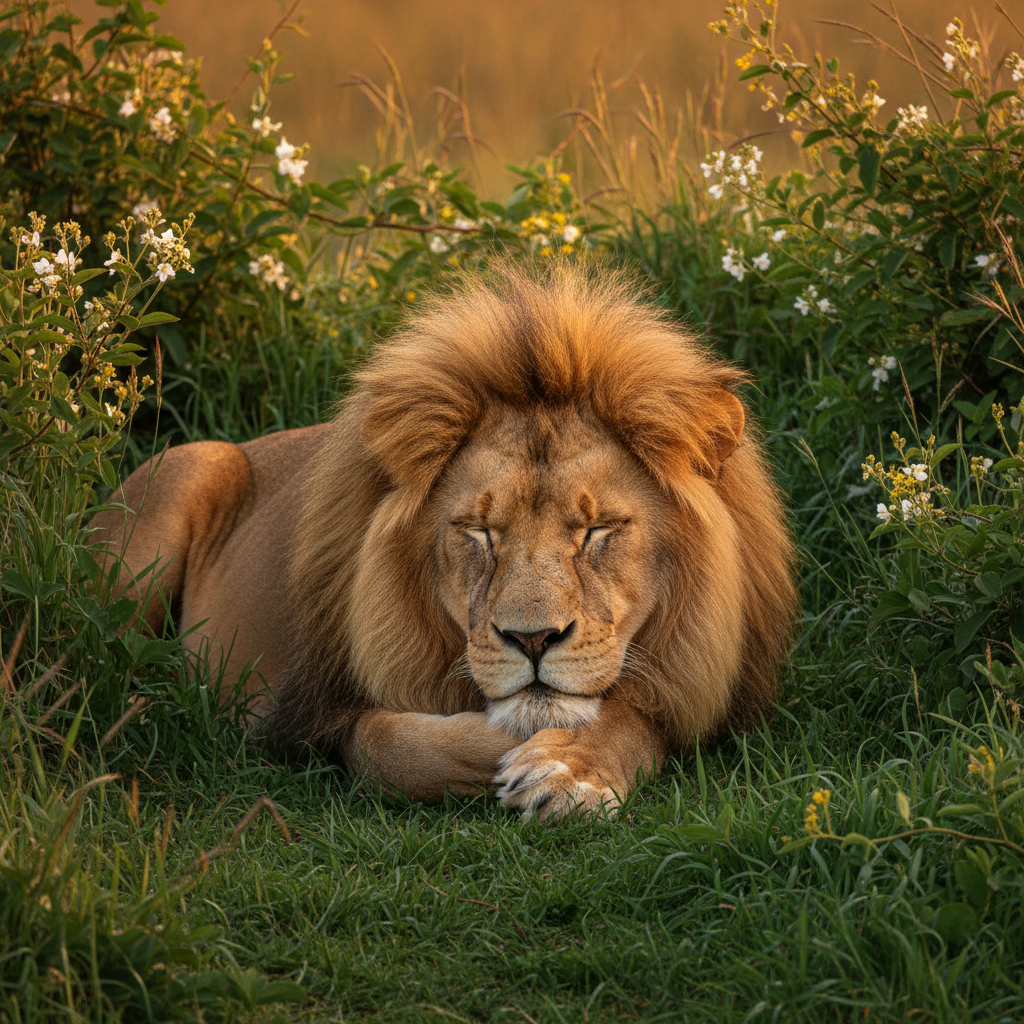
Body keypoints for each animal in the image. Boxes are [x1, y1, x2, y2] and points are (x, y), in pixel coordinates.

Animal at [90, 264, 797, 820]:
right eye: (479, 532)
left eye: (596, 530)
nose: (532, 640)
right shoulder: (313, 713)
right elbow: (392, 746)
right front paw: (526, 742)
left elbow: (637, 716)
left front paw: (569, 766)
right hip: (184, 477)